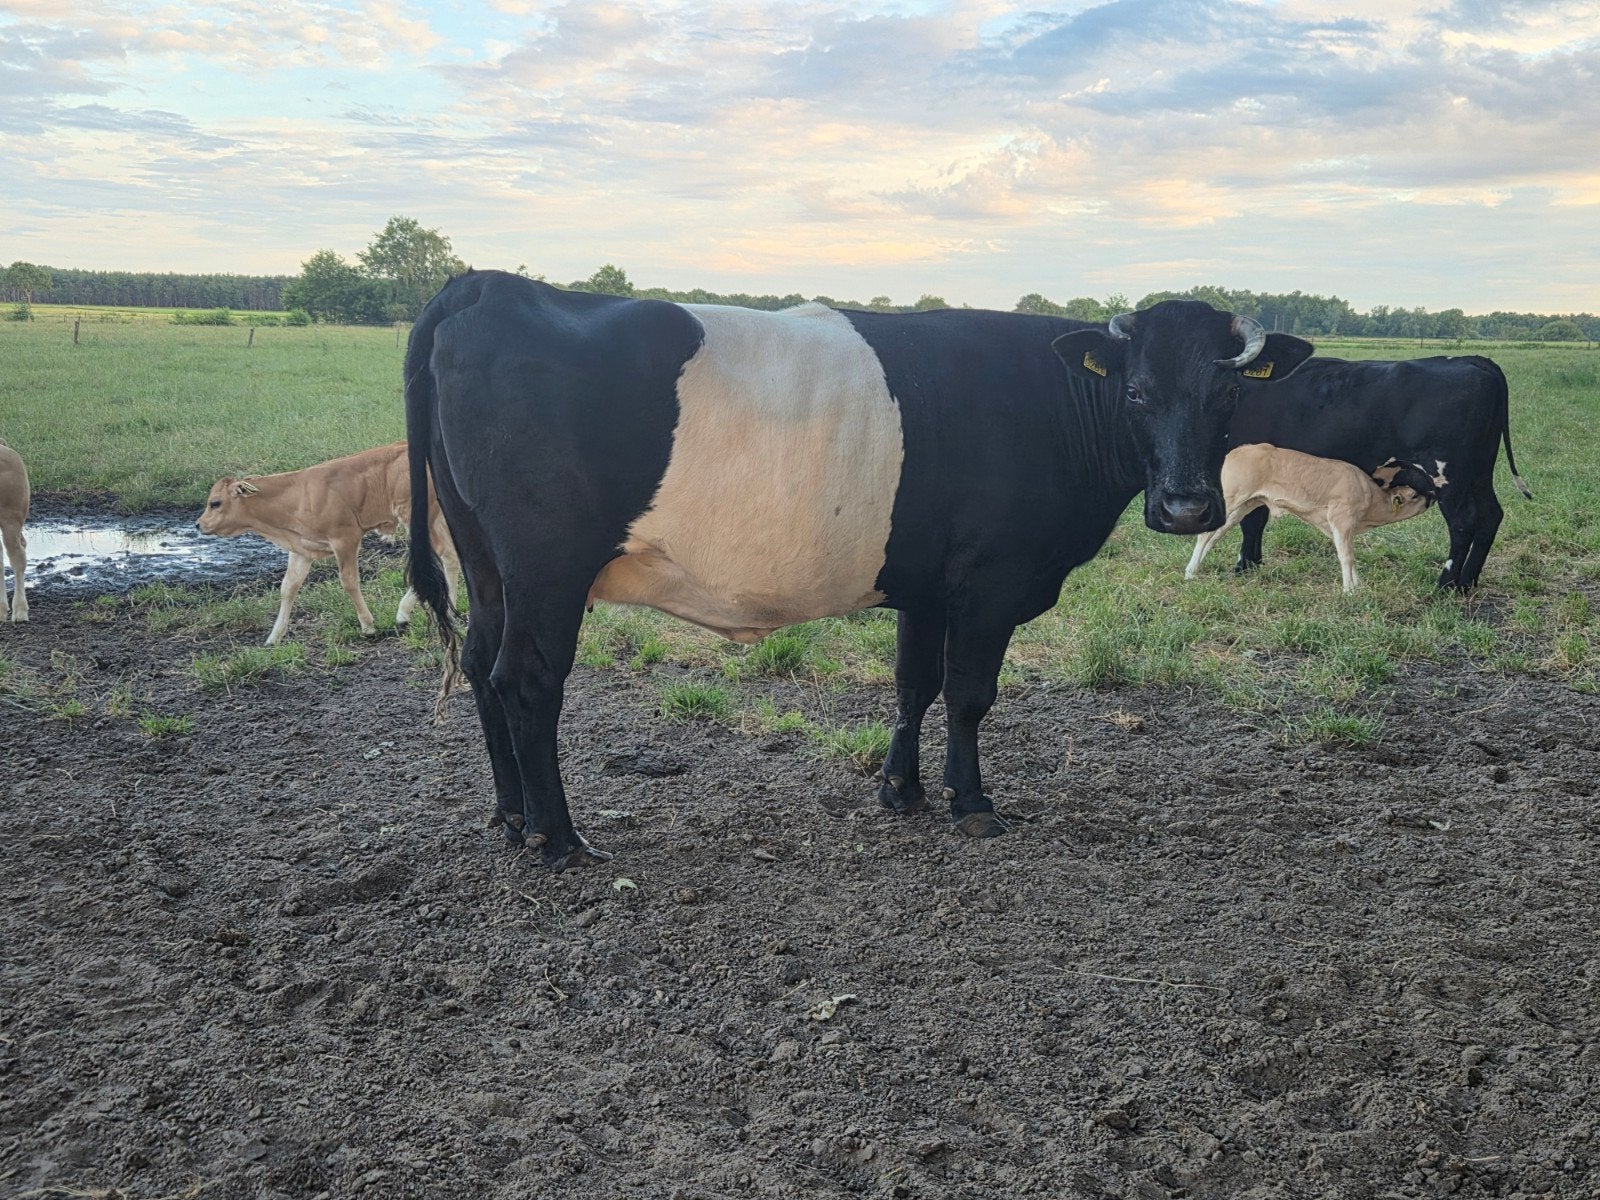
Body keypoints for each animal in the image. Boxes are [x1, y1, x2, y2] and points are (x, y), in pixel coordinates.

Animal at [197, 441, 460, 646]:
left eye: (215, 503)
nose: (199, 524)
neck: (295, 495)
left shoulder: (345, 538)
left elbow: (349, 582)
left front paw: (368, 626)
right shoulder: (301, 549)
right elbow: (288, 588)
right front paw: (274, 637)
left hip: (416, 518)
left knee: (436, 559)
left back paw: (405, 613)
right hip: (436, 519)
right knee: (450, 557)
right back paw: (449, 606)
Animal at [404, 272, 1314, 869]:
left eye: (1228, 397)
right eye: (1136, 393)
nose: (1188, 508)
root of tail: (486, 285)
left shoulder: (928, 583)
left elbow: (916, 684)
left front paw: (901, 792)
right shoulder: (990, 582)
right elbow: (971, 693)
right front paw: (971, 803)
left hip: (487, 564)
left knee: (480, 667)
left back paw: (510, 817)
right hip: (547, 569)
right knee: (525, 680)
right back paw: (559, 839)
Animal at [1186, 444, 1434, 593]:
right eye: (1414, 495)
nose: (1432, 497)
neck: (1369, 494)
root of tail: (1237, 451)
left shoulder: (1337, 527)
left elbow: (1349, 554)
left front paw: (1357, 585)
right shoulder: (1341, 519)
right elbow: (1347, 557)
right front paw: (1349, 591)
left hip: (1245, 504)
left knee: (1215, 535)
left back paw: (1194, 570)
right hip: (1233, 498)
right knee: (1204, 534)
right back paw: (1189, 574)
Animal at [1226, 355, 1530, 589]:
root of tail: (1472, 359)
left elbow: (1250, 519)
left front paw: (1243, 565)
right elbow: (1255, 517)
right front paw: (1251, 563)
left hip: (1449, 476)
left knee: (1463, 521)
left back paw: (1446, 584)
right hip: (1479, 474)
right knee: (1491, 514)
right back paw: (1467, 582)